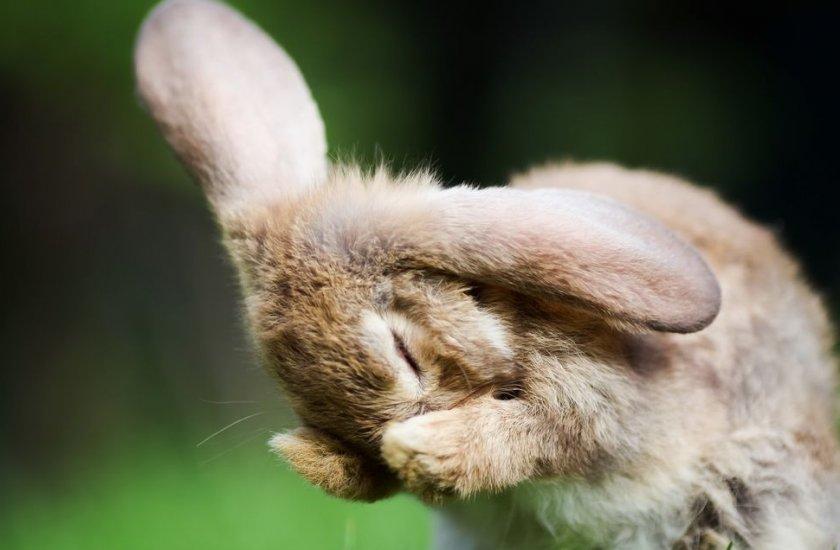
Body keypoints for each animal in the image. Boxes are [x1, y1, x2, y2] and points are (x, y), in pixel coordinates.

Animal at [135, 1, 840, 548]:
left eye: (403, 351)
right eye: (291, 387)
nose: (379, 442)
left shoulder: (601, 401)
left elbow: (546, 433)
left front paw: (417, 450)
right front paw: (321, 459)